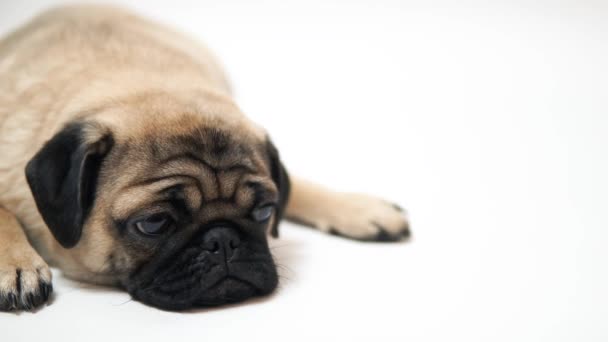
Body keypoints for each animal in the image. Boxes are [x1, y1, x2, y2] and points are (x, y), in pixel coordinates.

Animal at [0, 4, 410, 312]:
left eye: (264, 212)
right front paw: (16, 264)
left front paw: (357, 208)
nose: (222, 240)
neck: (141, 83)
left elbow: (295, 184)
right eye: (153, 223)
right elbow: (4, 212)